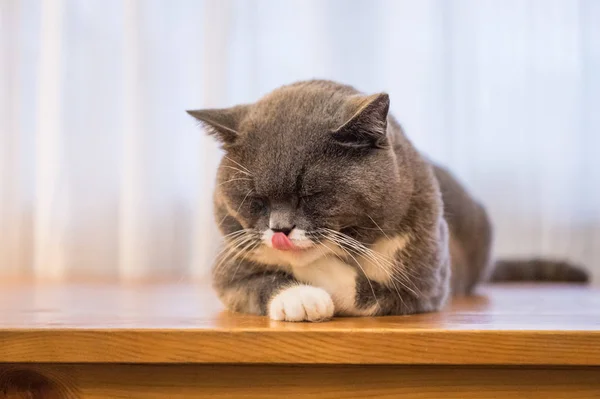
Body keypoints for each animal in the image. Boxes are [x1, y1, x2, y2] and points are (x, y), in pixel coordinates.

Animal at [189, 79, 592, 324]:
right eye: (255, 199)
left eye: (312, 194)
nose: (279, 231)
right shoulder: (229, 261)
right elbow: (252, 283)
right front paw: (299, 298)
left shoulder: (426, 284)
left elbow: (364, 290)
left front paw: (319, 276)